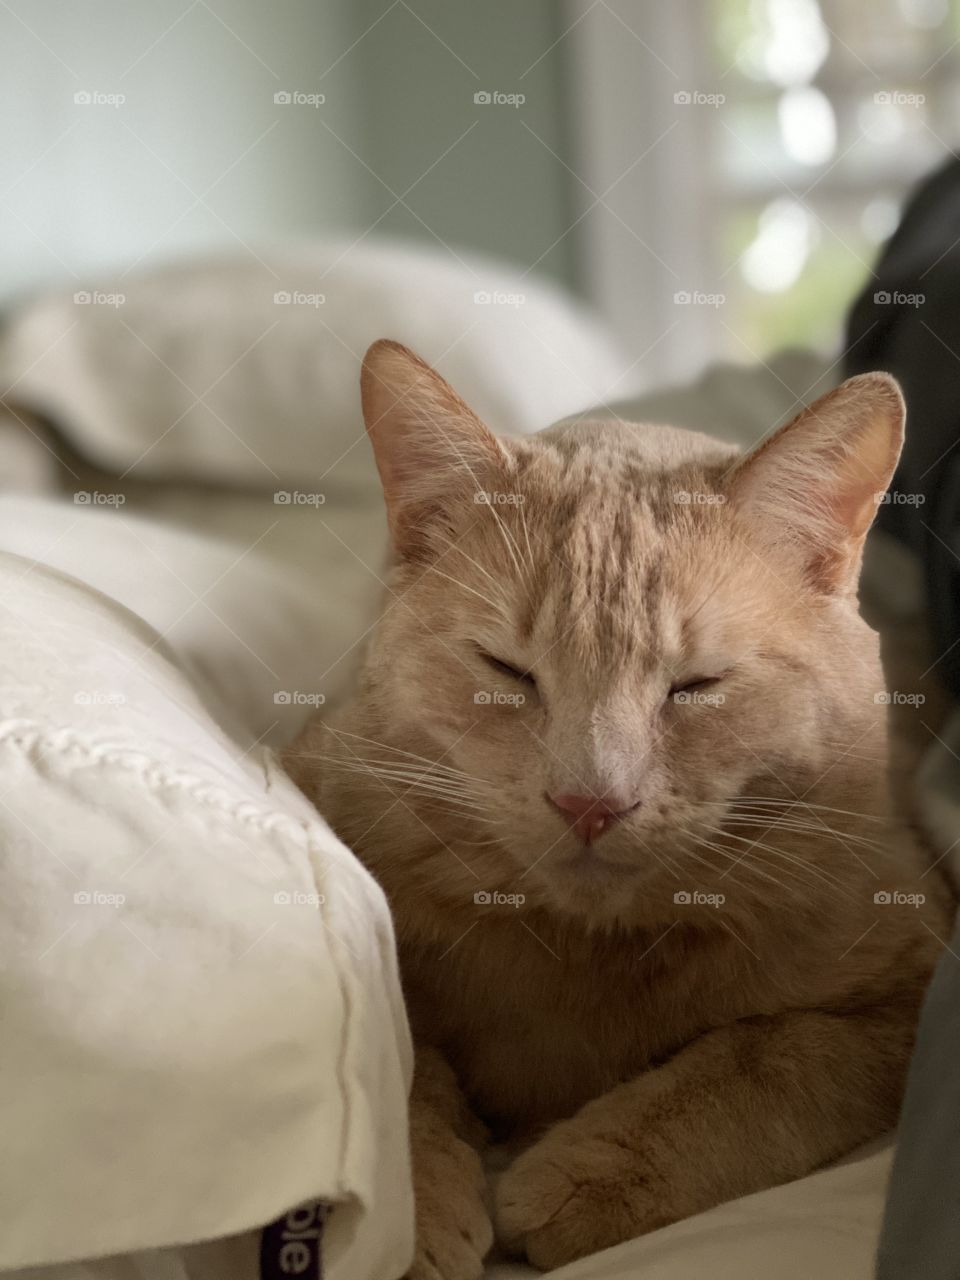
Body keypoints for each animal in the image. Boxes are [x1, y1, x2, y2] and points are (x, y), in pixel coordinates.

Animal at [281, 343, 952, 1280]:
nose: (590, 800)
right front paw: (404, 1217)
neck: (583, 951)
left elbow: (766, 1059)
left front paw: (596, 1165)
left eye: (697, 685)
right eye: (507, 670)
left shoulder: (907, 990)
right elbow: (395, 1056)